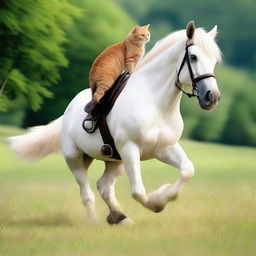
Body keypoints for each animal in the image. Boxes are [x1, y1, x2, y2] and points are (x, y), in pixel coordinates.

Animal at [9, 21, 222, 224]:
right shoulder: (130, 149)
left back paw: (119, 217)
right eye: (193, 57)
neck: (154, 102)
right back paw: (95, 223)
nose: (212, 97)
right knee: (87, 193)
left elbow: (187, 171)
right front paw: (156, 202)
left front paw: (162, 196)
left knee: (103, 186)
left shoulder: (165, 148)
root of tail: (69, 109)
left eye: (214, 60)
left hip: (115, 161)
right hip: (76, 159)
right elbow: (138, 192)